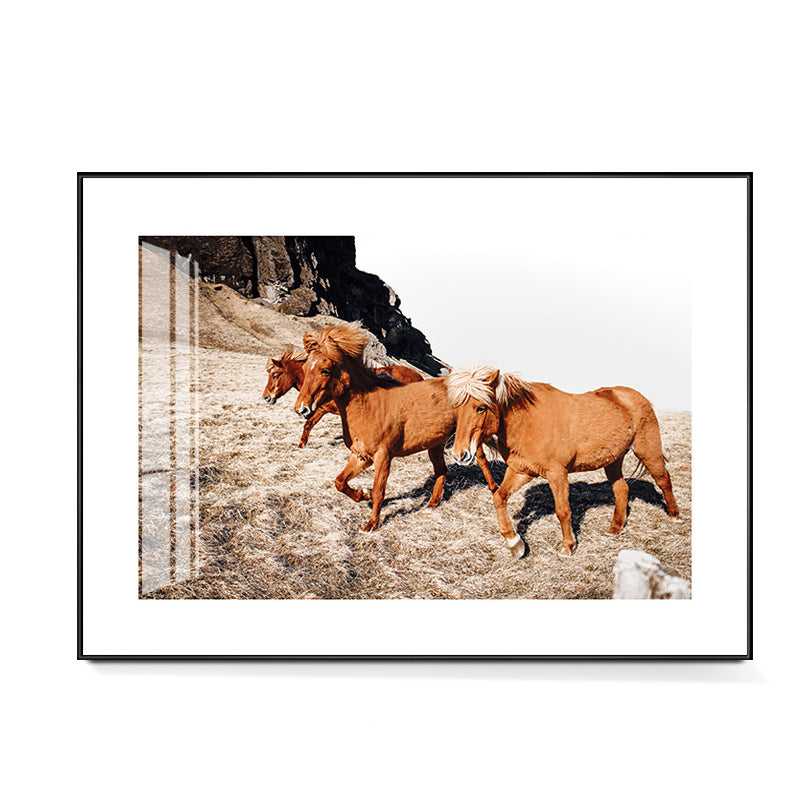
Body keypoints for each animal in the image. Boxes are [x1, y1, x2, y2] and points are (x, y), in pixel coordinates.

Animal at [295, 322, 499, 531]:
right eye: (305, 367)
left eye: (325, 370)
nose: (301, 409)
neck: (370, 406)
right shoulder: (361, 456)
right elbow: (340, 482)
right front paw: (362, 495)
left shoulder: (383, 457)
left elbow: (379, 491)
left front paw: (371, 525)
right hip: (436, 445)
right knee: (441, 470)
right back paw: (432, 504)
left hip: (468, 439)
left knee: (481, 460)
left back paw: (494, 490)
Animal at [447, 365, 679, 558]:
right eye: (455, 408)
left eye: (480, 407)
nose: (460, 454)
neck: (528, 422)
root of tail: (636, 396)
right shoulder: (521, 471)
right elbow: (499, 498)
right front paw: (515, 544)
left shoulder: (557, 473)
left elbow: (563, 510)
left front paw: (568, 546)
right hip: (613, 459)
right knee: (621, 489)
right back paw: (615, 528)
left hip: (647, 450)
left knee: (663, 480)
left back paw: (675, 516)